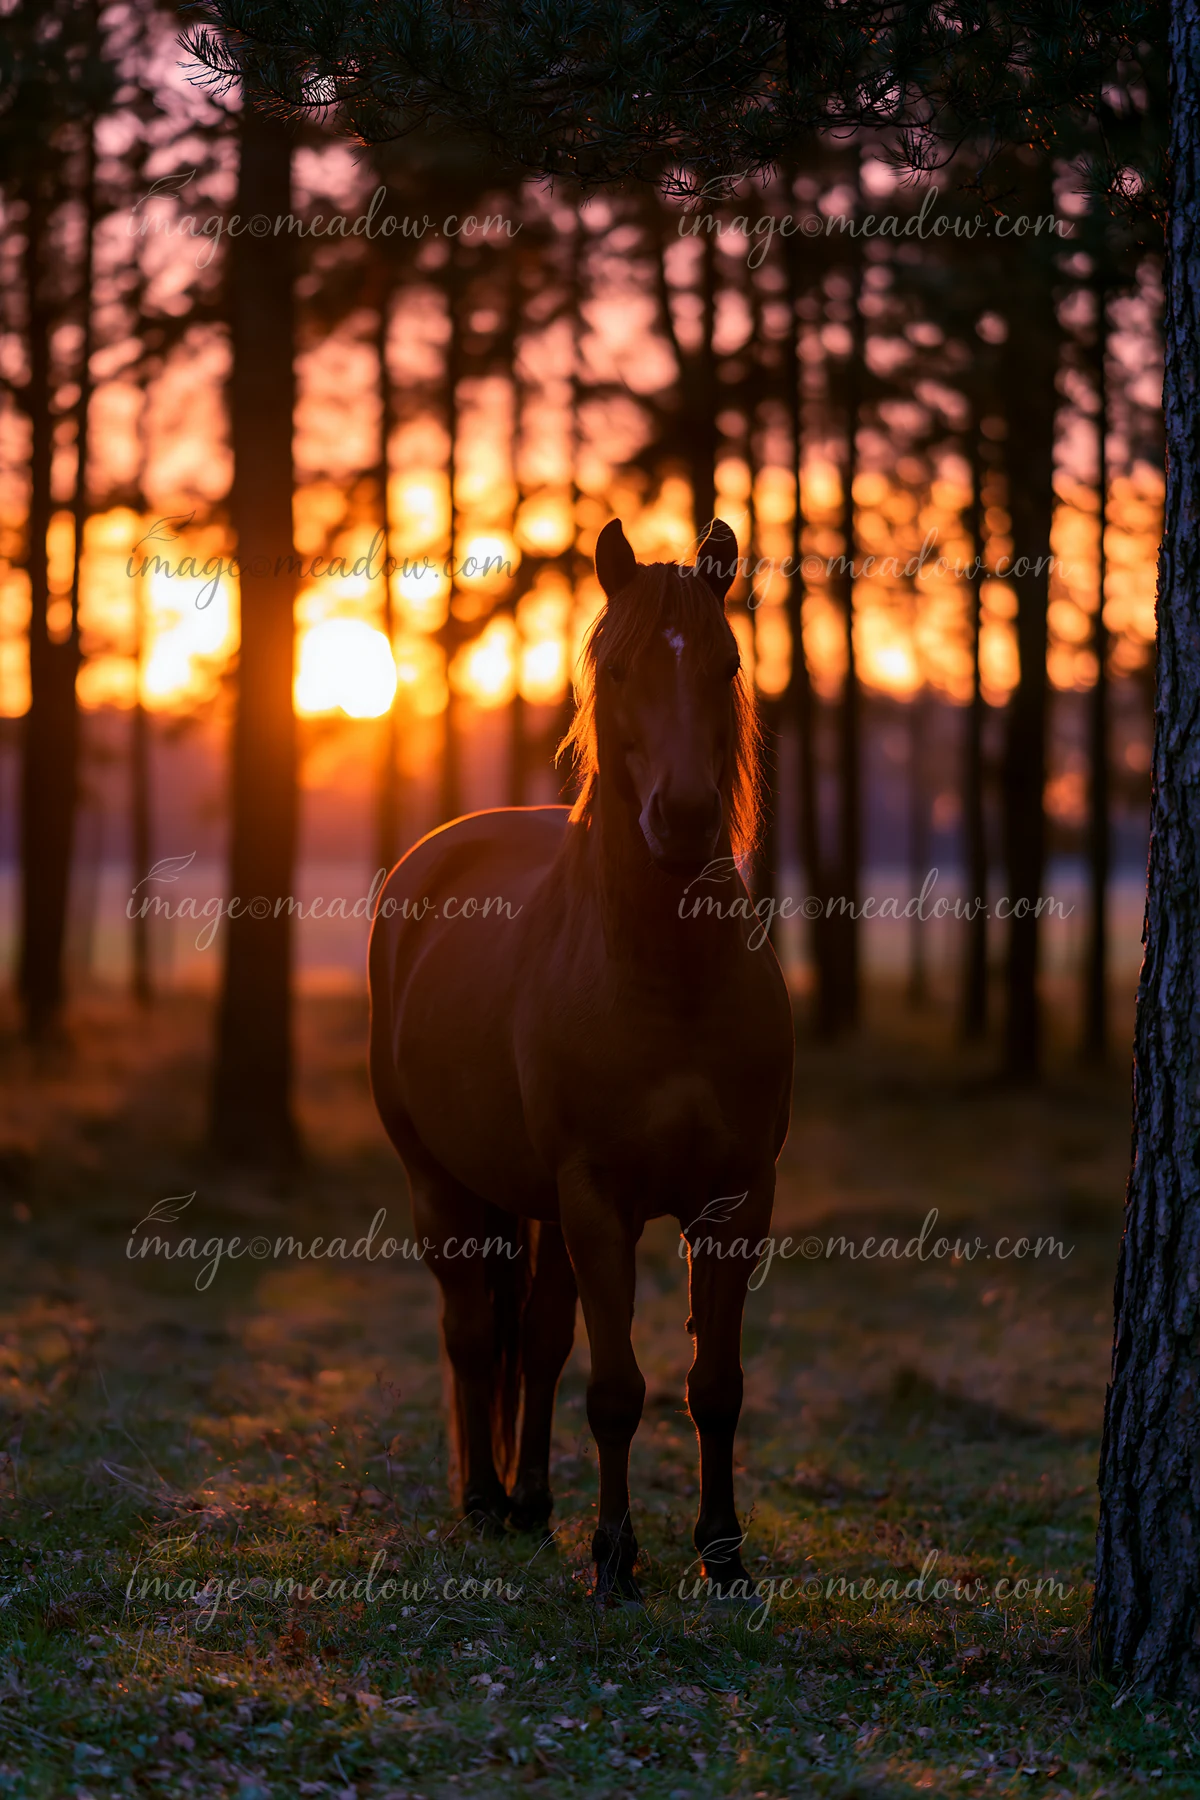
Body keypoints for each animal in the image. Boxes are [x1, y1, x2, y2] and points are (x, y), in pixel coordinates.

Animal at [368, 517, 794, 1604]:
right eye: (616, 668)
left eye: (726, 664)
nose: (682, 819)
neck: (671, 984)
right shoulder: (601, 1200)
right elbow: (615, 1391)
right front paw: (614, 1562)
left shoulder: (736, 1200)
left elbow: (714, 1387)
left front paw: (724, 1556)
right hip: (441, 1183)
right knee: (475, 1331)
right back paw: (484, 1502)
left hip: (544, 1207)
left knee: (539, 1333)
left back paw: (529, 1503)